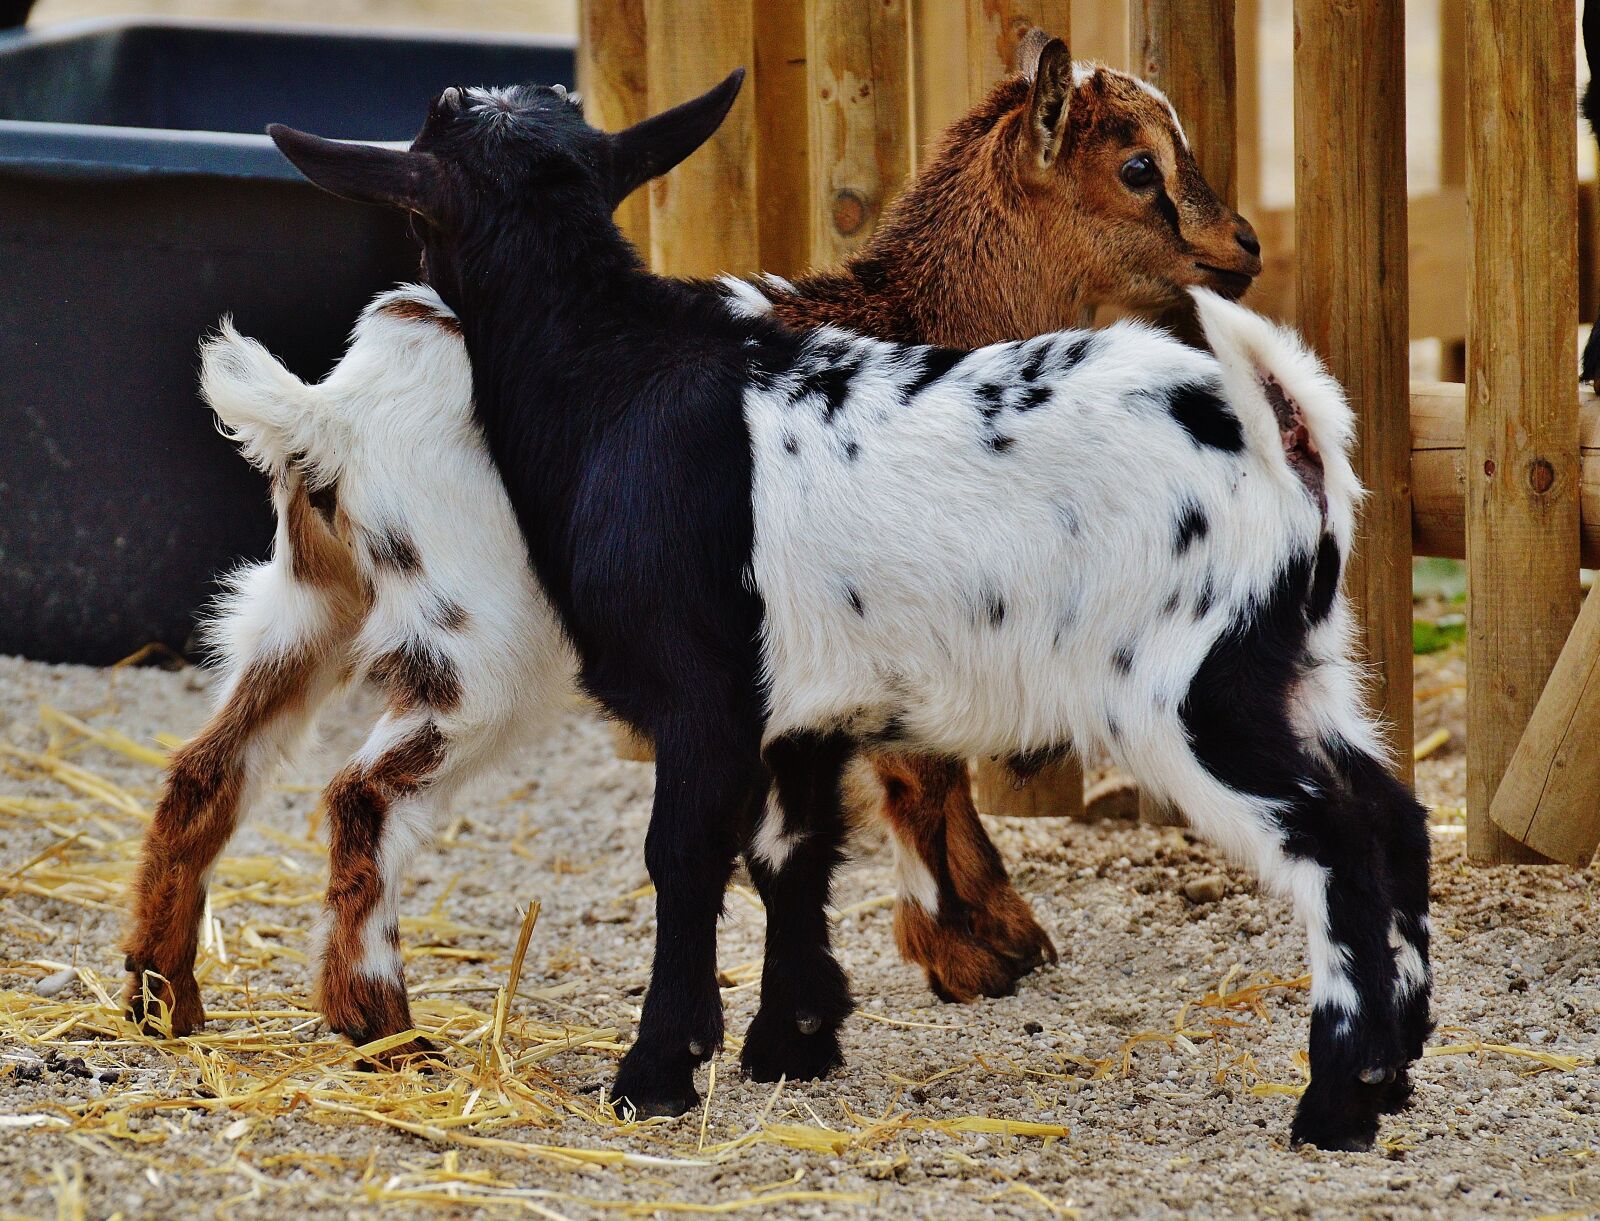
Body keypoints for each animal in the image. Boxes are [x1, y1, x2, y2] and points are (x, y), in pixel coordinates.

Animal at [247, 73, 1431, 1150]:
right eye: (1139, 166)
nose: (1239, 247)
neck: (615, 373)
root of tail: (1289, 434)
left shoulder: (703, 696)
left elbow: (685, 853)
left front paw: (659, 1069)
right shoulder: (804, 703)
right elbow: (793, 849)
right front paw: (794, 1040)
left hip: (1192, 692)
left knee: (1328, 841)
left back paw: (1334, 1102)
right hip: (1302, 665)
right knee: (1390, 814)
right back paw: (1393, 1065)